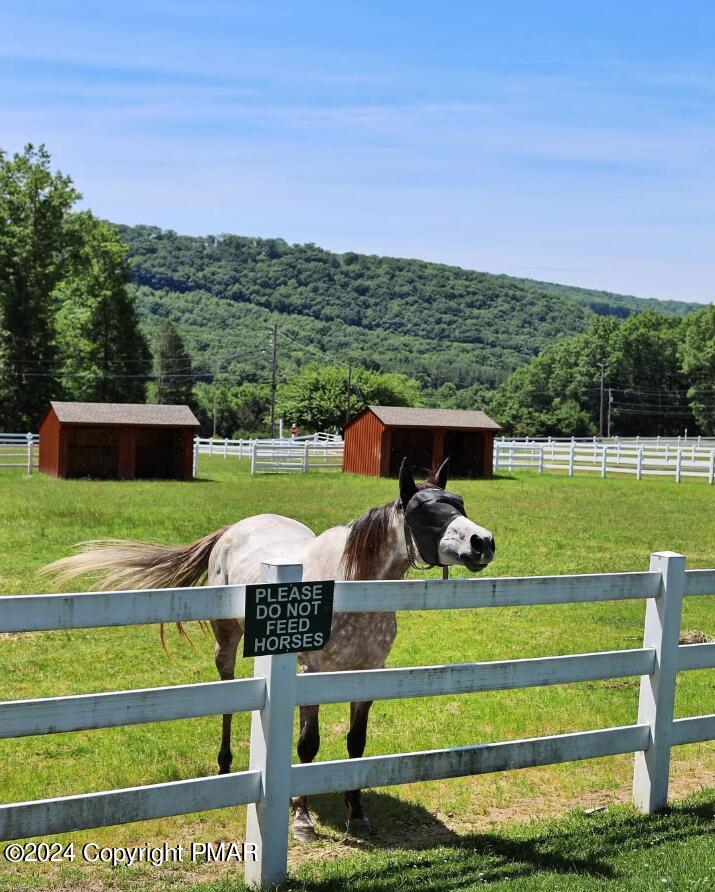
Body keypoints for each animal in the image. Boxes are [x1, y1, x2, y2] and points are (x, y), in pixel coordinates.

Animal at [43, 460, 492, 844]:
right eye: (425, 513)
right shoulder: (310, 674)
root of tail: (234, 528)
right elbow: (308, 745)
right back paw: (224, 765)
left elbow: (356, 745)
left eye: (459, 503)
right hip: (226, 641)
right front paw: (302, 820)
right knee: (227, 694)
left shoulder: (367, 674)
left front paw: (357, 814)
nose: (483, 542)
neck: (349, 584)